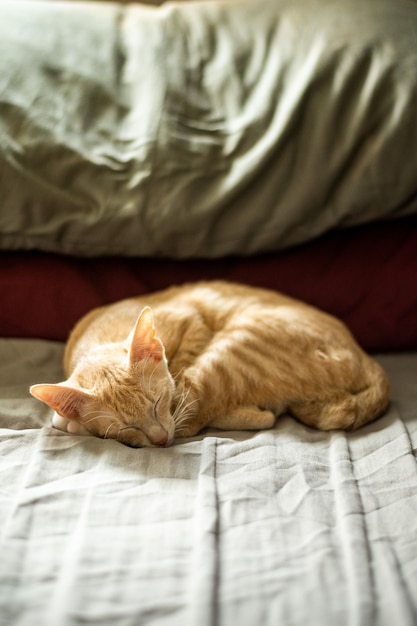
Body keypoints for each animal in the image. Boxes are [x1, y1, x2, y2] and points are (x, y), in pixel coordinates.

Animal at [30, 280, 390, 446]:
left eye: (157, 403)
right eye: (125, 427)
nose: (159, 440)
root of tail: (368, 361)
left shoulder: (191, 320)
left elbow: (182, 396)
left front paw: (71, 422)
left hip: (233, 351)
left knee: (197, 416)